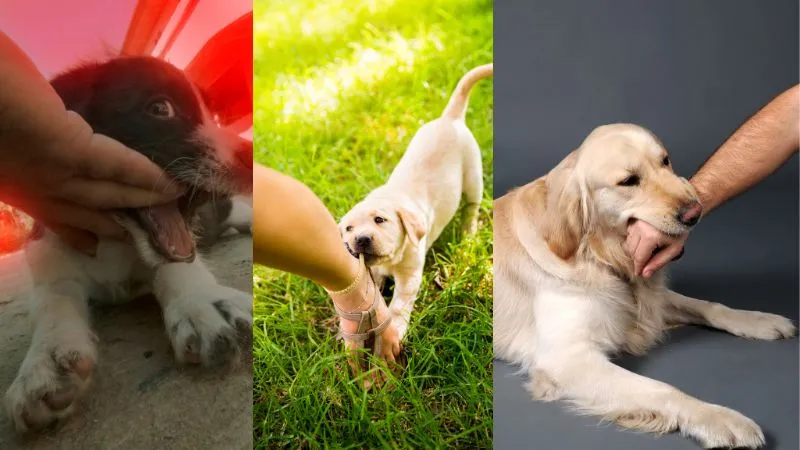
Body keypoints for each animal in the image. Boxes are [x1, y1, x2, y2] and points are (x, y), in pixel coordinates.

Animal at [3, 56, 253, 432]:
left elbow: (176, 268)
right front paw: (46, 361)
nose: (252, 158)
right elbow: (53, 303)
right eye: (160, 108)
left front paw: (202, 303)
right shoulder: (50, 260)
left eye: (216, 117)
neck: (115, 236)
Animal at [340, 63, 490, 342]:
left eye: (380, 219)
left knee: (471, 208)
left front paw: (396, 330)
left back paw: (468, 233)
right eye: (348, 229)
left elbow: (398, 305)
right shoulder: (373, 272)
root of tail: (449, 119)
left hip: (473, 175)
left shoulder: (409, 276)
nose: (361, 239)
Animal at [494, 122, 792, 446]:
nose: (695, 212)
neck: (597, 254)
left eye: (665, 160)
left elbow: (709, 306)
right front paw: (720, 417)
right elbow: (663, 390)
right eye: (628, 181)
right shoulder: (568, 358)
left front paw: (759, 320)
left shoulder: (650, 297)